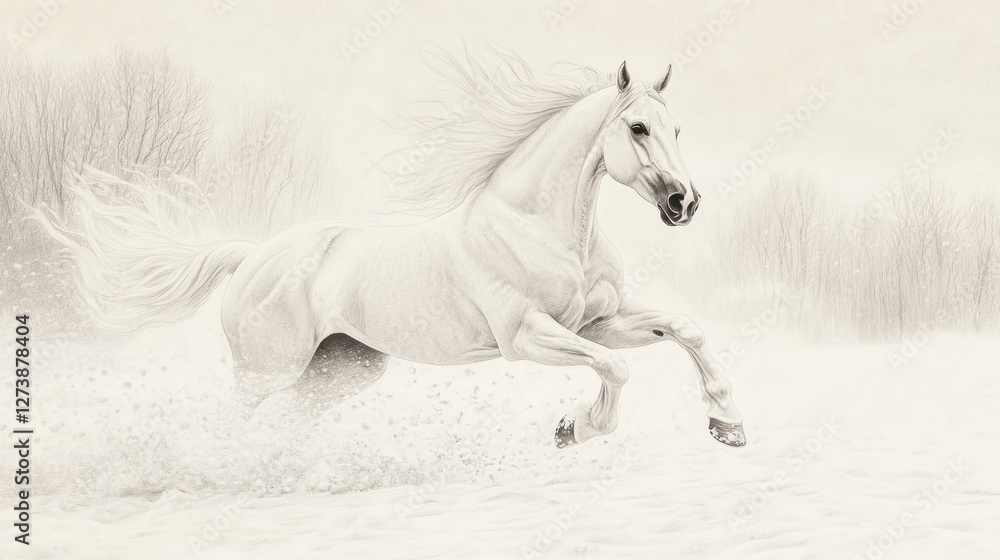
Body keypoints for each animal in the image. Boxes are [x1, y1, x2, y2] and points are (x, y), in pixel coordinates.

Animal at [35, 50, 746, 449]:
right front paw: (575, 428)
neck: (536, 226)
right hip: (267, 370)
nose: (684, 204)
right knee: (230, 422)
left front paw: (727, 425)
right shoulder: (527, 336)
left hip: (340, 371)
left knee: (289, 424)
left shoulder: (598, 321)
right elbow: (615, 369)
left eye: (677, 127)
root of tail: (252, 258)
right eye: (638, 127)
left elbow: (685, 329)